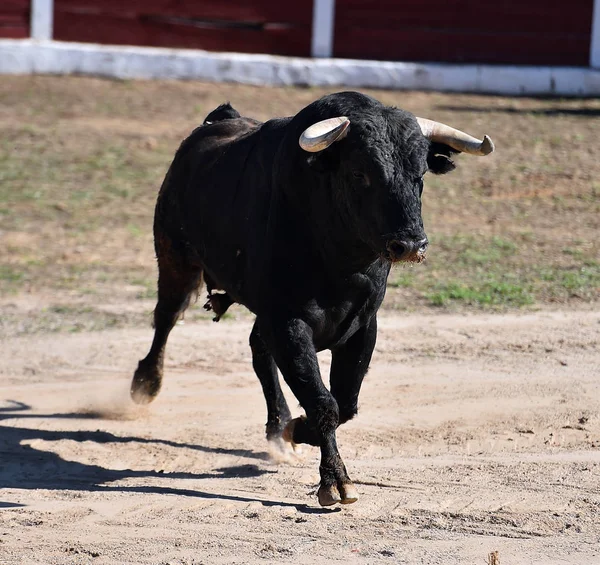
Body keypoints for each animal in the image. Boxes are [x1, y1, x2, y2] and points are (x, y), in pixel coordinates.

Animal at [130, 92, 492, 506]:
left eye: (419, 176)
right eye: (360, 173)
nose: (410, 244)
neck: (339, 261)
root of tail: (218, 121)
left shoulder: (363, 325)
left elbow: (345, 401)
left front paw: (297, 429)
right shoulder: (288, 322)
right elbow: (323, 402)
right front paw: (335, 480)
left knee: (257, 349)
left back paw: (279, 429)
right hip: (175, 257)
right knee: (167, 318)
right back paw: (146, 383)